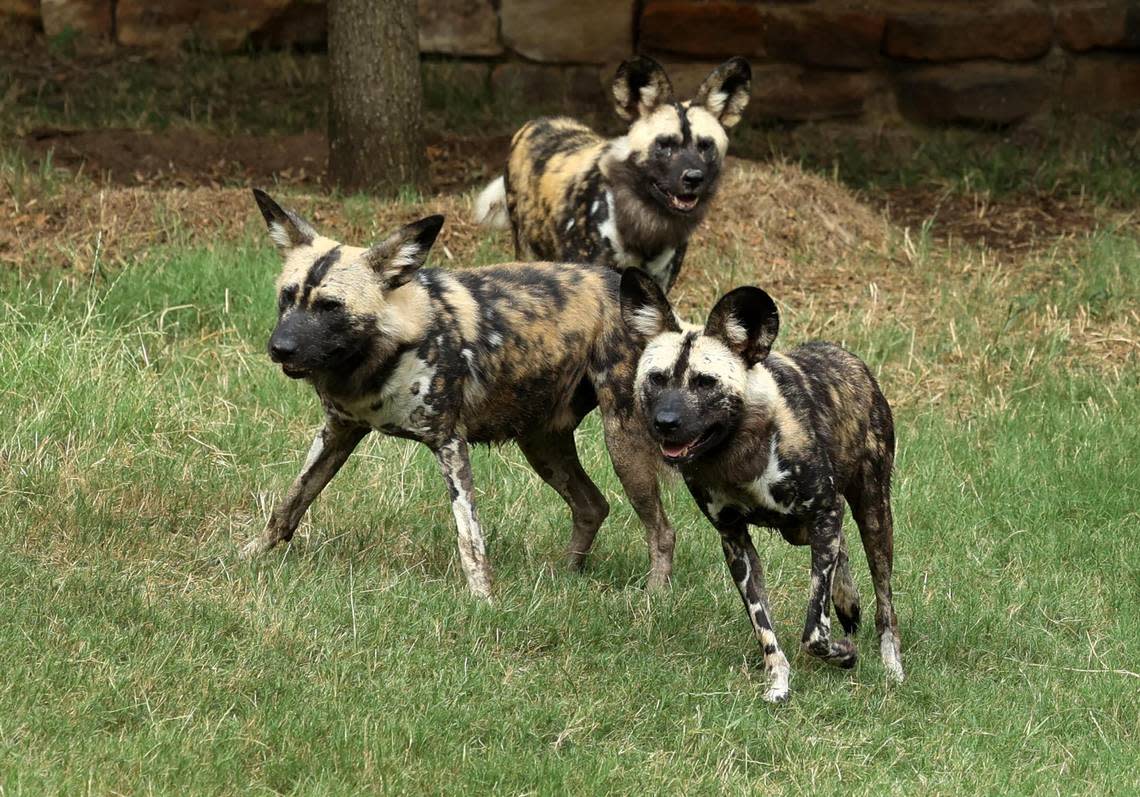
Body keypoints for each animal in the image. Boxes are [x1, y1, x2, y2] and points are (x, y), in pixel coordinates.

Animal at [241, 188, 679, 597]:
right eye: (287, 296)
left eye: (330, 306)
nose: (279, 348)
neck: (382, 352)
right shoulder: (338, 431)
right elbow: (290, 504)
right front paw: (248, 556)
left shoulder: (449, 443)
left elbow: (469, 536)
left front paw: (484, 598)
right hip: (541, 443)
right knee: (592, 505)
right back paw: (565, 576)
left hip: (622, 440)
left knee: (661, 530)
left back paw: (654, 597)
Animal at [620, 271, 902, 702]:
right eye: (657, 379)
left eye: (704, 383)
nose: (665, 423)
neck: (738, 455)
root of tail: (849, 359)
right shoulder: (735, 540)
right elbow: (764, 628)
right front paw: (778, 680)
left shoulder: (825, 510)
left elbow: (814, 633)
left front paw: (844, 654)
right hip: (803, 530)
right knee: (841, 552)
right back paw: (847, 600)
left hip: (872, 514)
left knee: (885, 604)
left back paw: (891, 665)